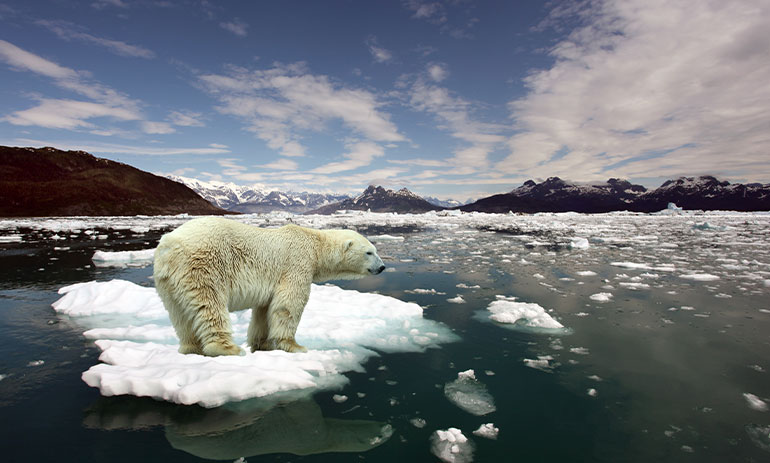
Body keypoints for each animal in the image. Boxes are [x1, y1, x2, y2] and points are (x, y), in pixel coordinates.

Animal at [153, 219, 384, 358]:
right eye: (369, 252)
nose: (382, 267)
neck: (315, 245)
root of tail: (169, 246)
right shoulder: (297, 264)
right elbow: (288, 304)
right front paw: (295, 346)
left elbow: (264, 310)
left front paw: (262, 344)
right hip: (203, 265)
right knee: (210, 305)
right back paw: (228, 348)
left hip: (168, 282)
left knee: (180, 315)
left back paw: (190, 348)